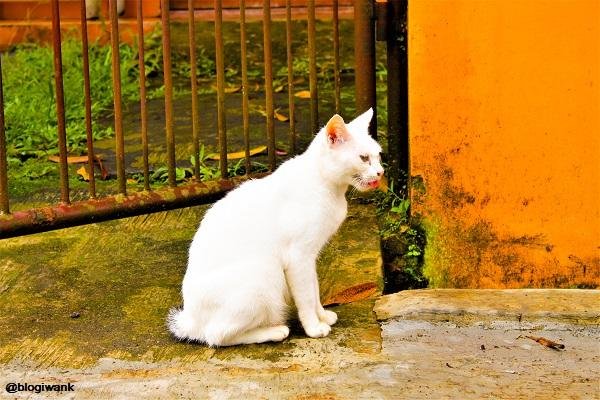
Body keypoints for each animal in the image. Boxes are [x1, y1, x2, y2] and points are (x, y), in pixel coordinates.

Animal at [168, 108, 384, 346]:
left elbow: (314, 289)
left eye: (378, 156)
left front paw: (322, 315)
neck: (327, 185)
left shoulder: (310, 257)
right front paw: (313, 327)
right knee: (216, 335)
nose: (381, 172)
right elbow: (306, 297)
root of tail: (189, 320)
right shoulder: (299, 257)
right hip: (264, 273)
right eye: (364, 158)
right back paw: (275, 331)